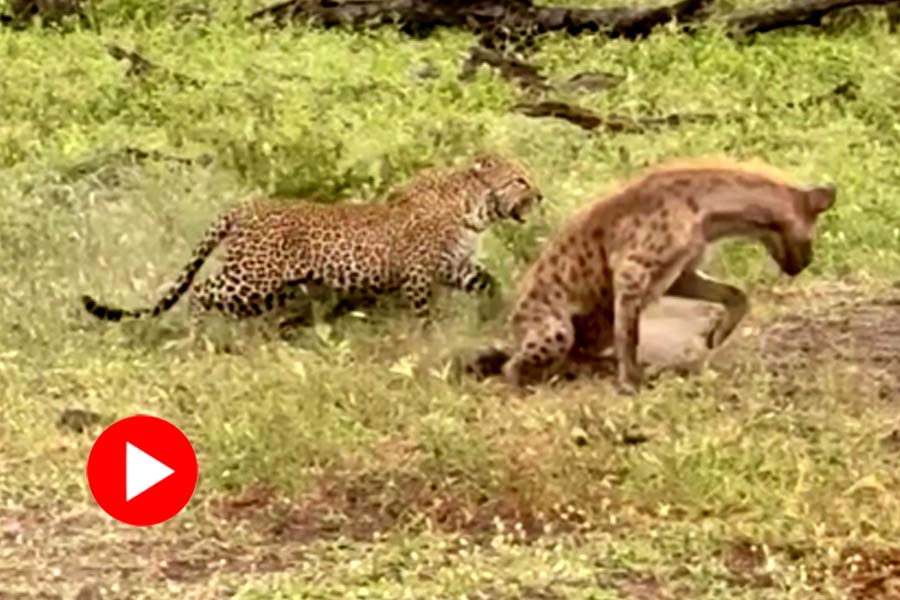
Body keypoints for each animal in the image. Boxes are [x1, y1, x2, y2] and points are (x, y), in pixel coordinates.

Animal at [81, 153, 543, 330]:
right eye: (520, 179)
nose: (540, 195)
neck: (473, 210)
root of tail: (243, 207)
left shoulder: (454, 266)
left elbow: (487, 281)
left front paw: (498, 308)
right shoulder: (418, 273)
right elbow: (423, 312)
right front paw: (427, 338)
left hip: (269, 289)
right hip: (253, 275)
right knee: (201, 290)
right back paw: (199, 333)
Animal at [465, 157, 837, 395]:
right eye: (812, 238)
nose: (806, 264)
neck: (708, 212)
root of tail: (515, 328)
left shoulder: (680, 270)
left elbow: (735, 293)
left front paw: (715, 336)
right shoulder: (632, 268)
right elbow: (629, 334)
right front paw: (630, 383)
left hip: (592, 327)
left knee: (575, 353)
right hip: (552, 327)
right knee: (515, 365)